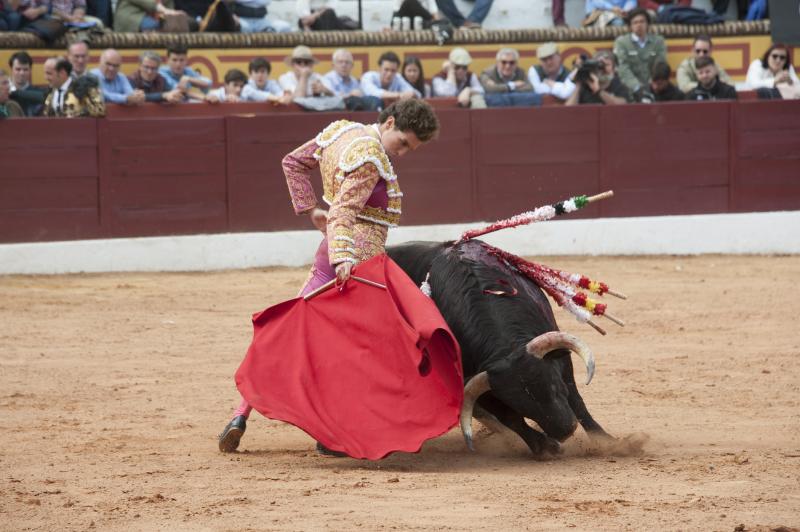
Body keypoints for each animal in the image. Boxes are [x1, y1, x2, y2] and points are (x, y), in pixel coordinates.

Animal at [388, 239, 612, 456]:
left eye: (554, 386)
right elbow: (511, 419)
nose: (564, 430)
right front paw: (545, 447)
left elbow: (575, 396)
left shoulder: (559, 356)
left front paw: (604, 441)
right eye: (519, 404)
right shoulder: (475, 385)